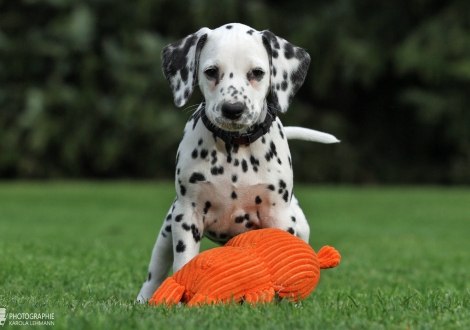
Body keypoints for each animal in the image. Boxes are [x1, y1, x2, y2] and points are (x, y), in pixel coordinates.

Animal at [136, 22, 338, 302]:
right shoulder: (187, 215)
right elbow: (184, 263)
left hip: (301, 226)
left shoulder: (279, 215)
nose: (233, 109)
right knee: (155, 273)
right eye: (211, 72)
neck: (234, 148)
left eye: (257, 73)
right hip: (167, 231)